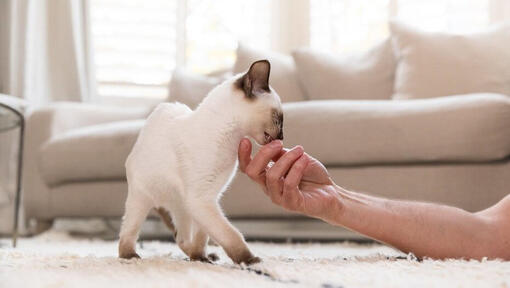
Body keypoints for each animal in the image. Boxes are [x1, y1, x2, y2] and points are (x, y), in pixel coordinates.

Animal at [119, 60, 282, 266]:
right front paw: (249, 260)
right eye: (278, 119)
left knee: (180, 238)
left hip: (182, 207)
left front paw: (200, 258)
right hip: (144, 199)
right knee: (127, 233)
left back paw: (201, 256)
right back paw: (129, 255)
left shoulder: (210, 196)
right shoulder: (201, 199)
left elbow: (203, 236)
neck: (230, 140)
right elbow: (230, 234)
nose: (282, 136)